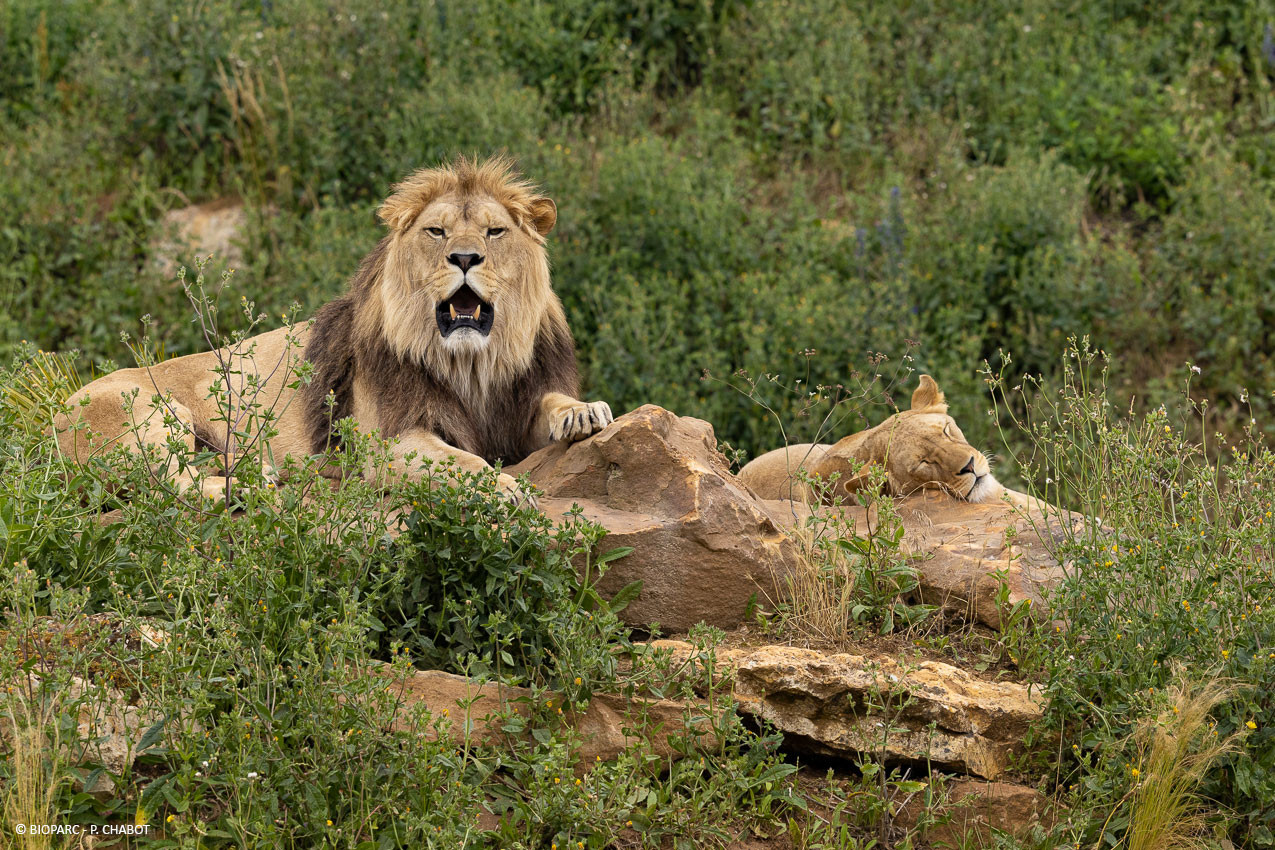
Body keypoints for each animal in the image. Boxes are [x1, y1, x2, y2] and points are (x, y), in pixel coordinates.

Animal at [57, 156, 614, 502]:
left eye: (495, 232)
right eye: (436, 231)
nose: (463, 257)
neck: (472, 363)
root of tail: (50, 420)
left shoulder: (516, 410)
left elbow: (551, 404)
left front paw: (584, 412)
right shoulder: (391, 441)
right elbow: (466, 464)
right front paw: (504, 491)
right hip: (149, 413)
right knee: (169, 482)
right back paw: (248, 485)